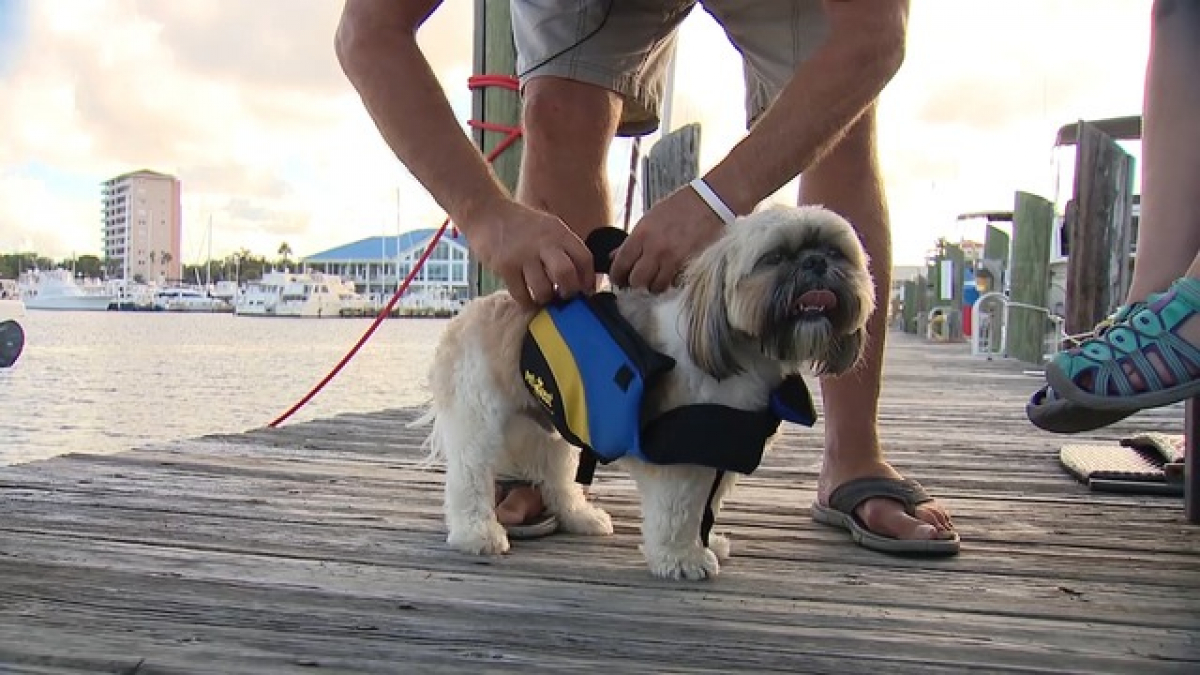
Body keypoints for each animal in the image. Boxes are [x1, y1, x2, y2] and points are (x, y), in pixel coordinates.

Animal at [417, 204, 878, 578]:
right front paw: (682, 558)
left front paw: (707, 544)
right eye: (775, 257)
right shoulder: (681, 459)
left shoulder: (720, 454)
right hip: (480, 423)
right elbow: (680, 510)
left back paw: (579, 517)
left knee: (557, 475)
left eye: (836, 252)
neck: (740, 356)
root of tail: (467, 312)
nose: (816, 263)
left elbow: (707, 507)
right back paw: (477, 533)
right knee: (470, 478)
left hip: (551, 429)